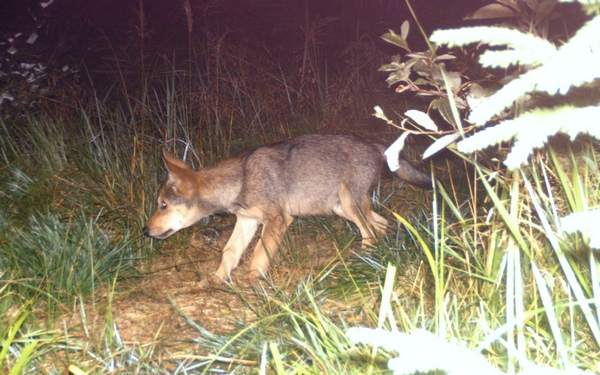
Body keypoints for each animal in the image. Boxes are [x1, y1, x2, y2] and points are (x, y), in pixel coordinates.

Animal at [141, 135, 432, 282]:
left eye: (163, 205)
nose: (144, 231)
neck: (240, 181)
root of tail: (375, 144)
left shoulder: (278, 220)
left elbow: (258, 255)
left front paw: (253, 282)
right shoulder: (246, 221)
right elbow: (229, 253)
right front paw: (217, 280)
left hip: (350, 206)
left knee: (371, 234)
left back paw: (362, 262)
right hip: (342, 209)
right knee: (381, 226)